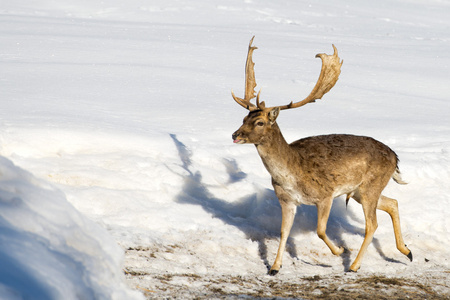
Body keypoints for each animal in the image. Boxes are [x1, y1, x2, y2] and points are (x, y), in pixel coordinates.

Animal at [232, 36, 412, 276]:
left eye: (260, 122)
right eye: (244, 118)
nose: (235, 134)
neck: (292, 173)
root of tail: (395, 157)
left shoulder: (326, 194)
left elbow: (320, 230)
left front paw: (340, 251)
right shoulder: (287, 199)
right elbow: (283, 231)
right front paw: (275, 267)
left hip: (370, 186)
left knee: (372, 223)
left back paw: (354, 265)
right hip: (359, 190)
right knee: (393, 202)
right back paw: (407, 251)